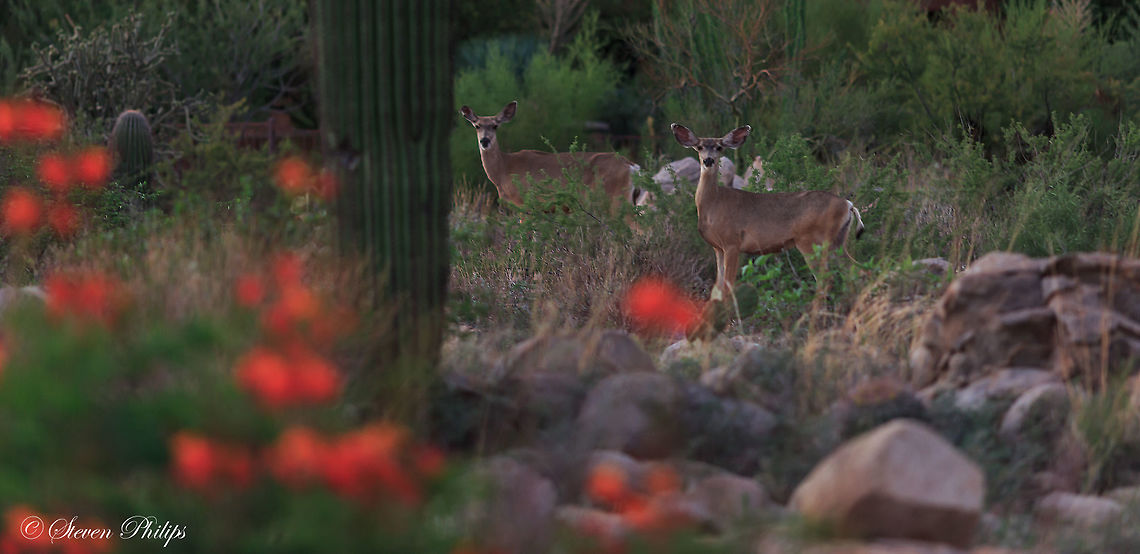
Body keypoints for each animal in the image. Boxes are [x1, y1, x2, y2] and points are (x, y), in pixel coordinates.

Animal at [459, 101, 640, 212]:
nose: (485, 140)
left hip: (615, 199)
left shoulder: (526, 203)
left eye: (495, 126)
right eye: (477, 126)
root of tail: (632, 166)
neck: (504, 170)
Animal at [670, 123, 865, 298]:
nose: (708, 160)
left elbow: (727, 287)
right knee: (856, 271)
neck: (713, 205)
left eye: (719, 147)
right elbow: (716, 288)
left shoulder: (732, 242)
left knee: (827, 280)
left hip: (813, 241)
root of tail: (848, 205)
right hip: (837, 242)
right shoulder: (717, 248)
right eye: (699, 146)